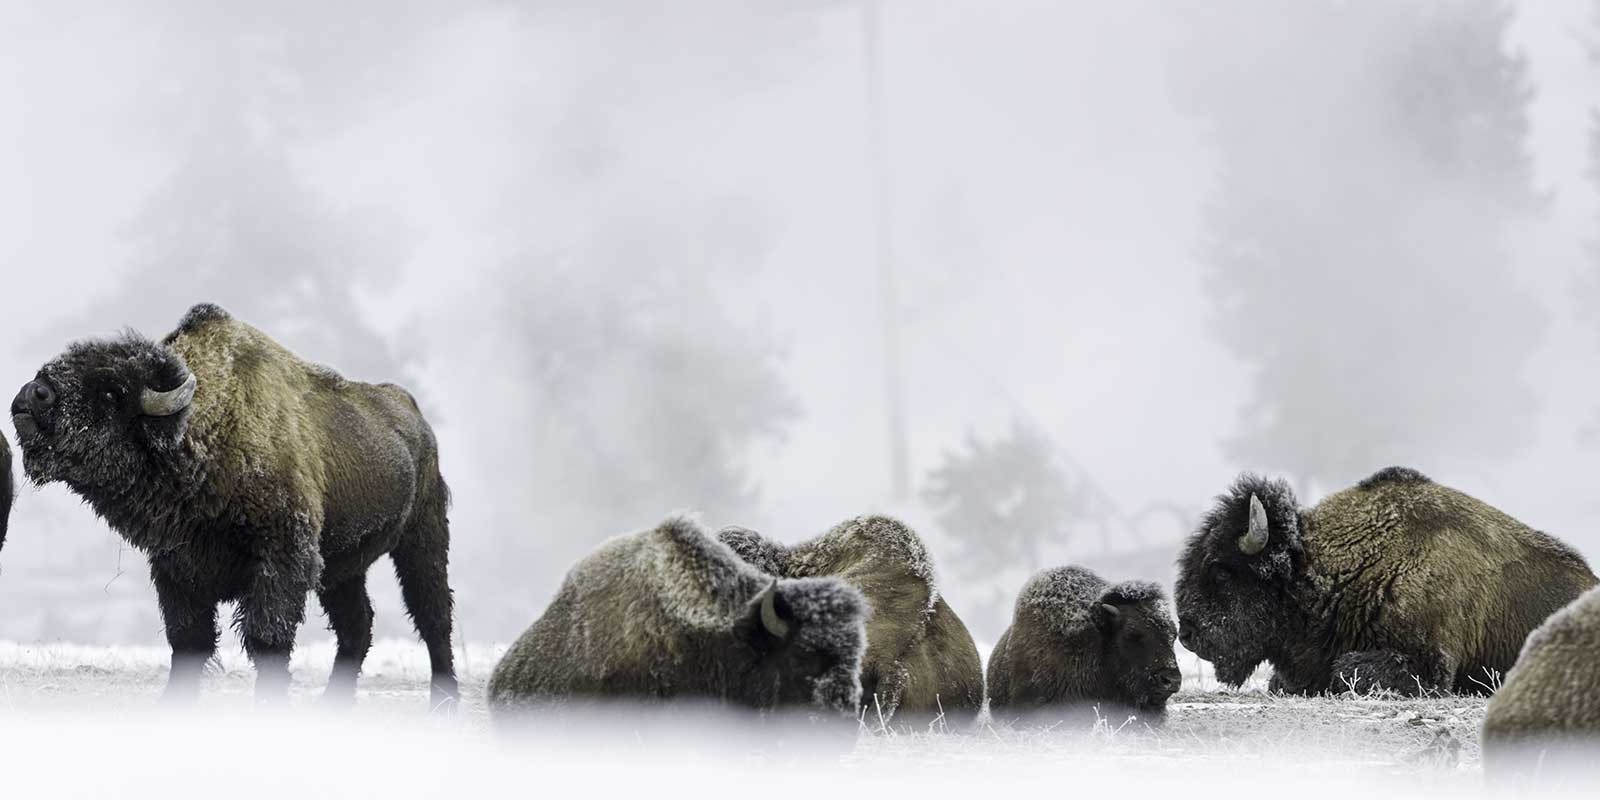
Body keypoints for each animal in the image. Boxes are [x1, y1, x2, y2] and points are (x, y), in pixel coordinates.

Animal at [10, 303, 457, 707]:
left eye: (110, 391)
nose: (34, 393)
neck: (203, 432)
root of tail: (415, 416)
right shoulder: (176, 568)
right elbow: (187, 640)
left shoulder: (281, 560)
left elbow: (267, 640)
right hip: (343, 568)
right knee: (357, 625)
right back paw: (334, 703)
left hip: (423, 537)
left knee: (432, 613)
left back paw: (444, 698)